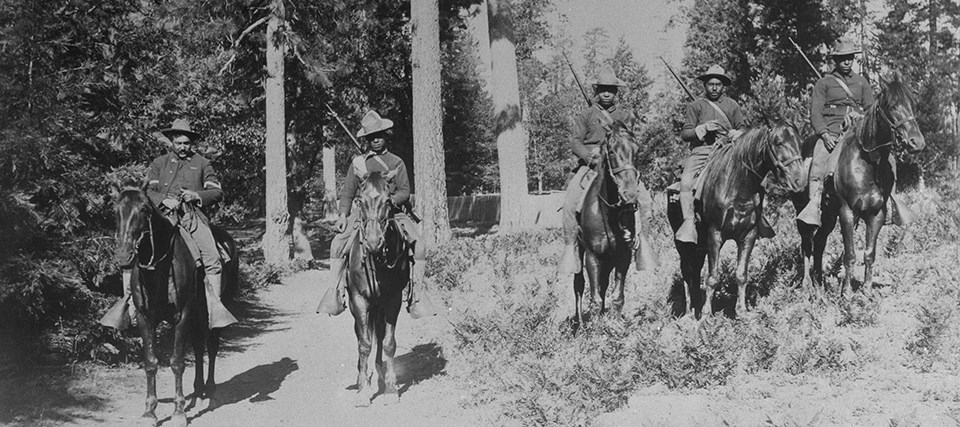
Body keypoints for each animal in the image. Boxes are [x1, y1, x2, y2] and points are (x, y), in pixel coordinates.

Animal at [108, 188, 235, 427]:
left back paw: (210, 393)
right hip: (197, 315)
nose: (123, 256)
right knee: (198, 346)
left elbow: (177, 362)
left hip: (215, 309)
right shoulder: (145, 317)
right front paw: (150, 412)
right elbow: (151, 362)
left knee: (212, 346)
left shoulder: (182, 316)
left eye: (143, 209)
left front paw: (178, 412)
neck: (159, 268)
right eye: (115, 209)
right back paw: (198, 392)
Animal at [346, 171, 410, 408]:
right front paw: (363, 390)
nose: (373, 242)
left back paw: (380, 373)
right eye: (360, 201)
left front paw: (391, 389)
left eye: (388, 202)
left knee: (380, 334)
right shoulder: (359, 300)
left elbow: (388, 342)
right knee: (361, 335)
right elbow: (364, 344)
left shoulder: (392, 300)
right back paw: (362, 377)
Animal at [568, 122, 644, 326]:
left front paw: (614, 326)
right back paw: (579, 324)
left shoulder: (623, 255)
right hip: (579, 251)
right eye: (611, 151)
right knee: (579, 284)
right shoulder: (592, 257)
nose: (629, 195)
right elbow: (594, 298)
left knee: (603, 285)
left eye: (636, 149)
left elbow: (617, 296)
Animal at [664, 123, 808, 318]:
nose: (799, 180)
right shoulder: (715, 235)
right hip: (683, 243)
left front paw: (741, 311)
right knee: (687, 270)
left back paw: (696, 305)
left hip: (700, 245)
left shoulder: (748, 236)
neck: (738, 186)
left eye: (800, 142)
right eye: (778, 142)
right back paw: (689, 312)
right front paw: (707, 315)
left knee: (694, 270)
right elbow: (713, 277)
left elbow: (741, 274)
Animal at [792, 74, 928, 294]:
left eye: (912, 104)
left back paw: (819, 282)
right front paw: (847, 293)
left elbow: (869, 253)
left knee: (819, 242)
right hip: (806, 212)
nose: (916, 142)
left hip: (829, 216)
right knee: (807, 243)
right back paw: (807, 284)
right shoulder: (847, 212)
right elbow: (850, 254)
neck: (867, 164)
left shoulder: (876, 214)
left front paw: (866, 291)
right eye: (892, 105)